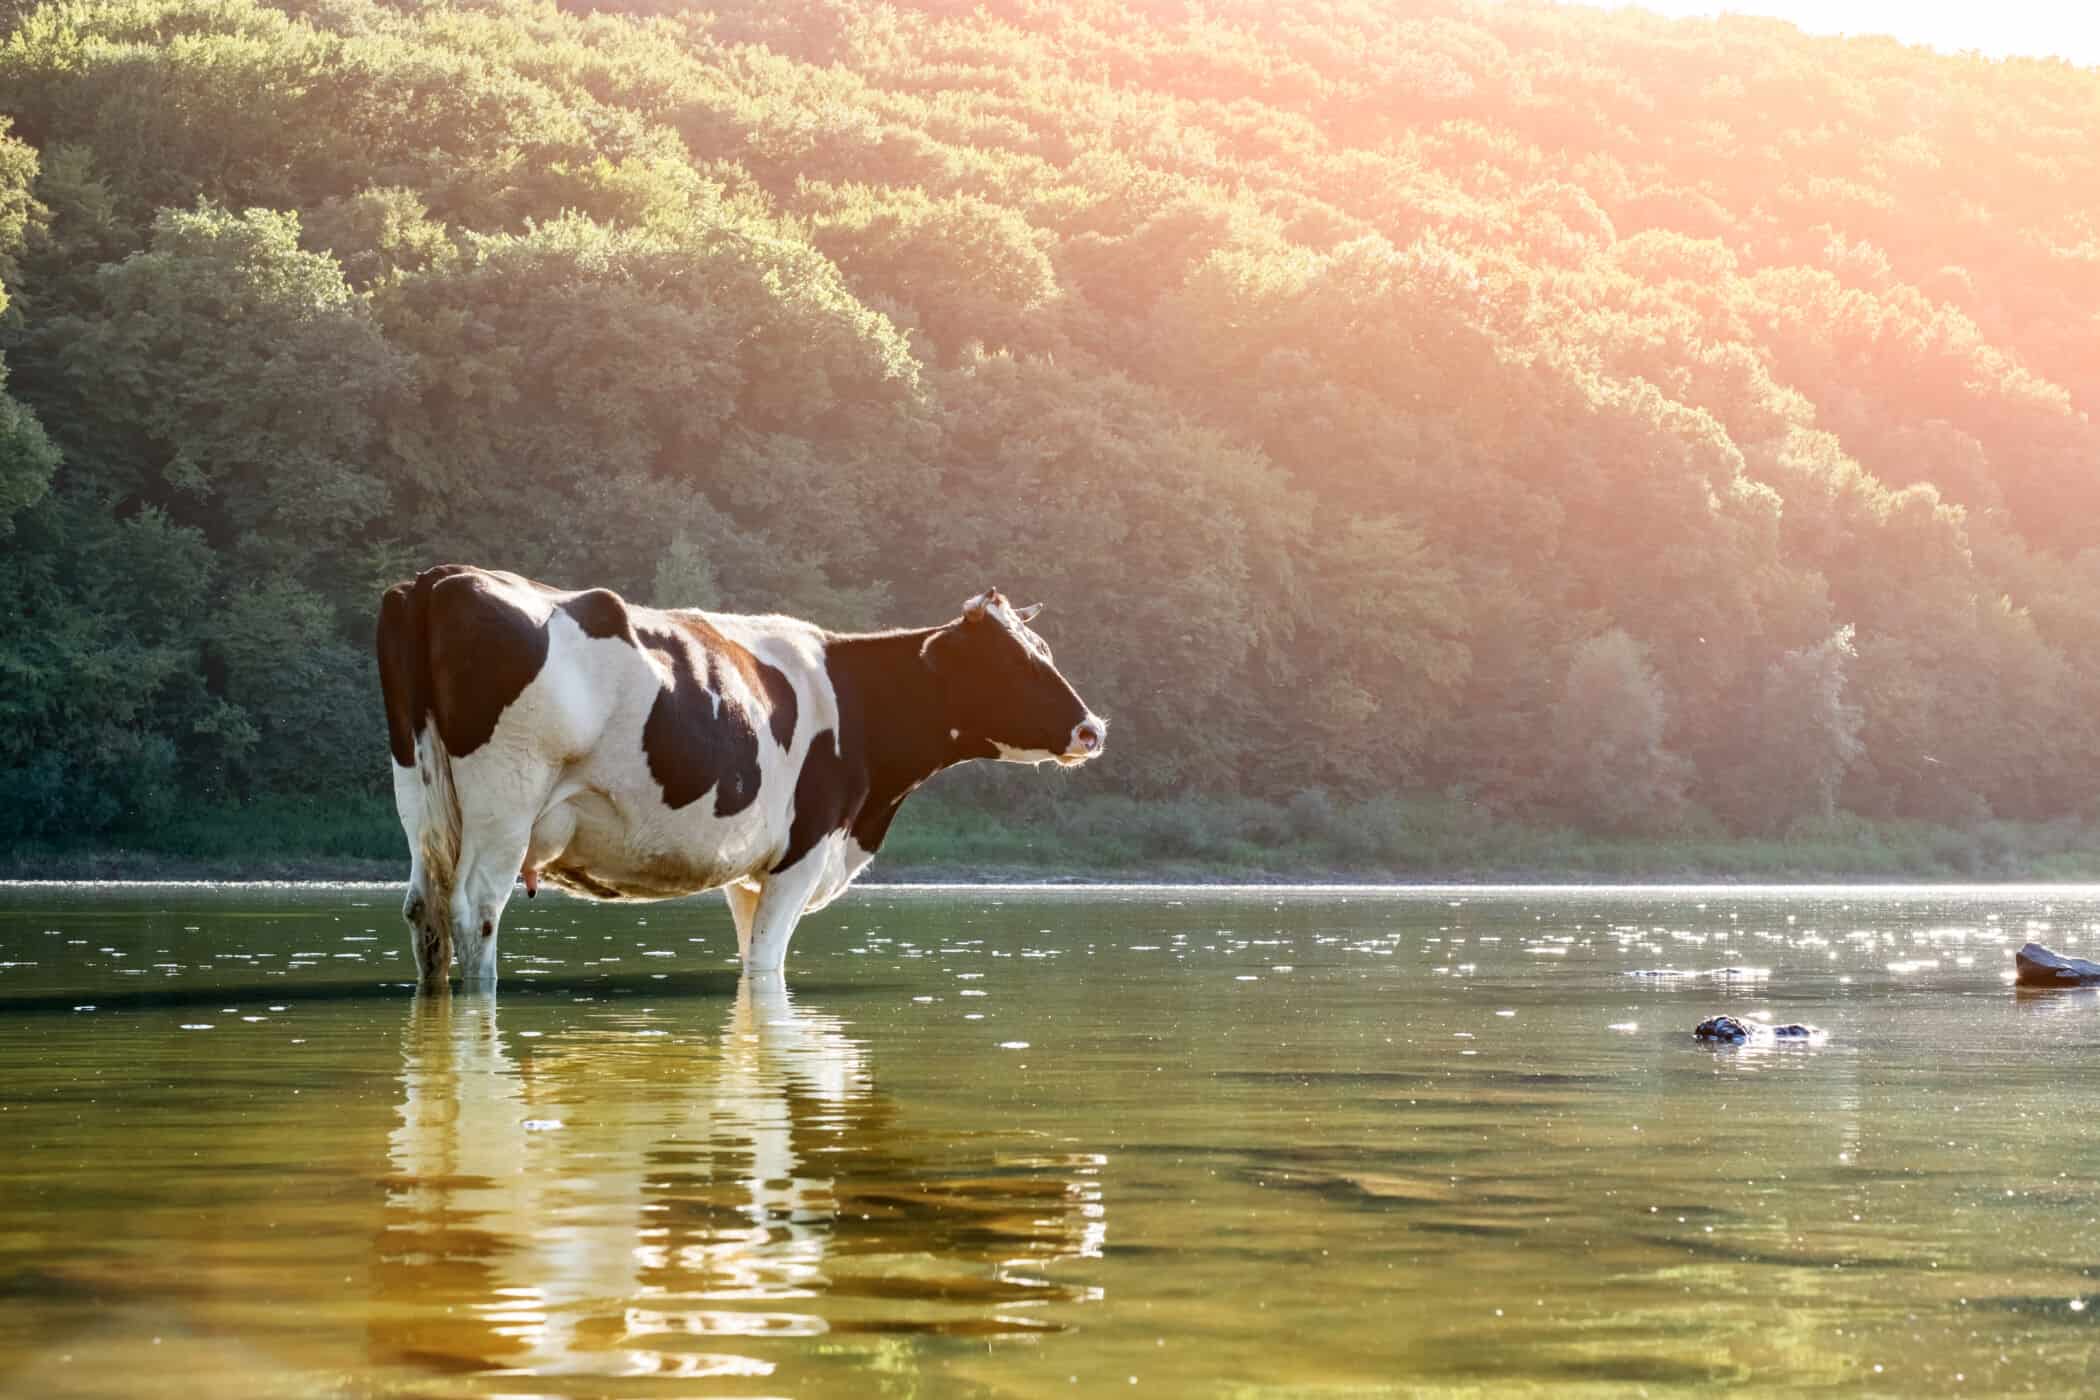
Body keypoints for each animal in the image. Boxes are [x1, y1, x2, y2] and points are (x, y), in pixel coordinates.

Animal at [375, 566, 1108, 986]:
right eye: (1010, 663)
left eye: (1042, 648)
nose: (1093, 729)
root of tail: (440, 578)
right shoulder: (803, 852)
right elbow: (766, 967)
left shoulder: (748, 870)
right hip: (506, 797)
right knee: (476, 912)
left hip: (420, 801)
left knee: (425, 913)